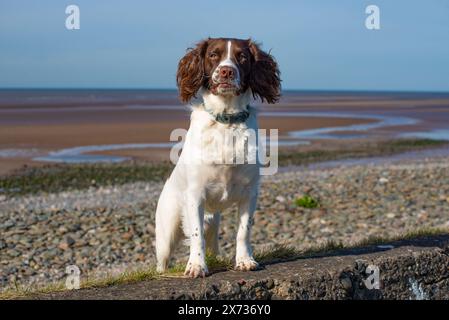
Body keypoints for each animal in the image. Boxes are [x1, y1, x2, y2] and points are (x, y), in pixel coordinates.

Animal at [156, 37, 278, 278]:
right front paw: (196, 265)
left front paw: (245, 261)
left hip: (212, 222)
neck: (226, 121)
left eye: (242, 56)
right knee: (162, 260)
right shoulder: (195, 196)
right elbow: (196, 235)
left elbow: (243, 232)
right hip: (167, 231)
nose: (226, 71)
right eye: (213, 54)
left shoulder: (250, 194)